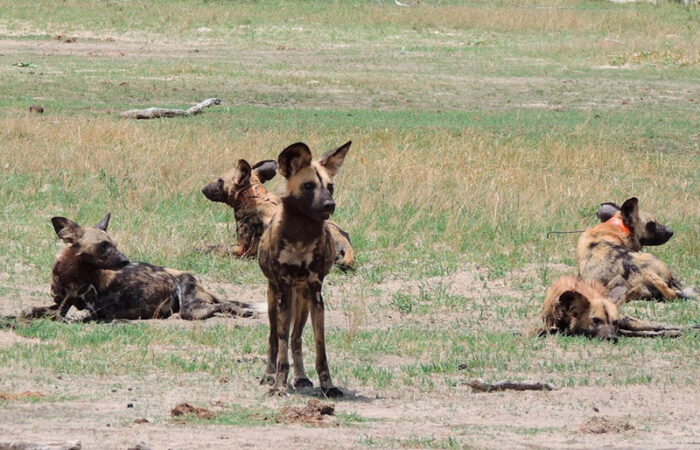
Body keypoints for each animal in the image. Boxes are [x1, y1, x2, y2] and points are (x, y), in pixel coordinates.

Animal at [24, 214, 262, 320]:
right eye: (104, 245)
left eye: (114, 244)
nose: (125, 261)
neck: (72, 275)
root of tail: (199, 281)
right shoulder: (60, 304)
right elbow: (30, 311)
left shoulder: (93, 310)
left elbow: (73, 317)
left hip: (190, 308)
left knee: (219, 306)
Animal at [202, 158, 356, 270]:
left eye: (220, 181)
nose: (203, 189)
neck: (252, 195)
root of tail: (344, 242)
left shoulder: (242, 248)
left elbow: (215, 247)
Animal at [258, 141, 352, 398]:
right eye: (308, 186)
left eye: (330, 187)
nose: (330, 204)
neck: (301, 234)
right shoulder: (282, 290)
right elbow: (280, 347)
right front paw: (279, 385)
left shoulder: (316, 293)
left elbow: (320, 349)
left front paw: (328, 386)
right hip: (274, 297)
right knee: (274, 338)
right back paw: (269, 376)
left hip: (303, 300)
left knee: (296, 338)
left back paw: (300, 377)